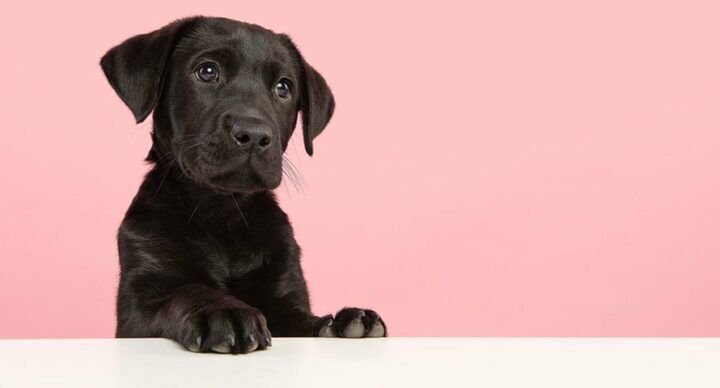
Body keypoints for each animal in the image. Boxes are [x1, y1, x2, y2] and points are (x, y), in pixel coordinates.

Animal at [100, 16, 386, 354]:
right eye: (207, 71)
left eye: (283, 87)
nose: (254, 134)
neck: (223, 213)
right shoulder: (136, 311)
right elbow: (187, 290)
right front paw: (222, 310)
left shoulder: (286, 299)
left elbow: (305, 321)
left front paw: (343, 321)